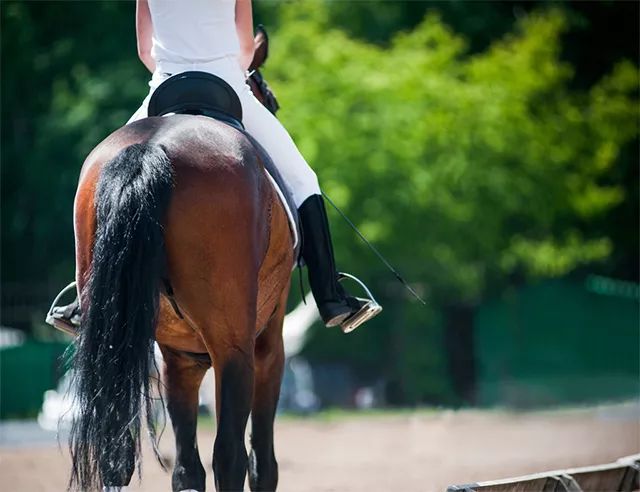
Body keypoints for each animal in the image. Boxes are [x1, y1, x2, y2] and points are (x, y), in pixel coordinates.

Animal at [67, 31, 292, 492]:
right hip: (235, 348)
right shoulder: (268, 345)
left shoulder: (178, 359)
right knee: (231, 456)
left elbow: (187, 467)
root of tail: (150, 149)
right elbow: (261, 462)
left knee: (121, 455)